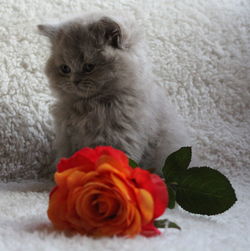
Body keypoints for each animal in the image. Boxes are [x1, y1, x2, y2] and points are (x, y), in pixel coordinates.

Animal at [38, 12, 190, 174]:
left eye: (89, 67)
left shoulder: (119, 138)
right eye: (65, 69)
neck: (89, 105)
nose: (75, 81)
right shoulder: (67, 139)